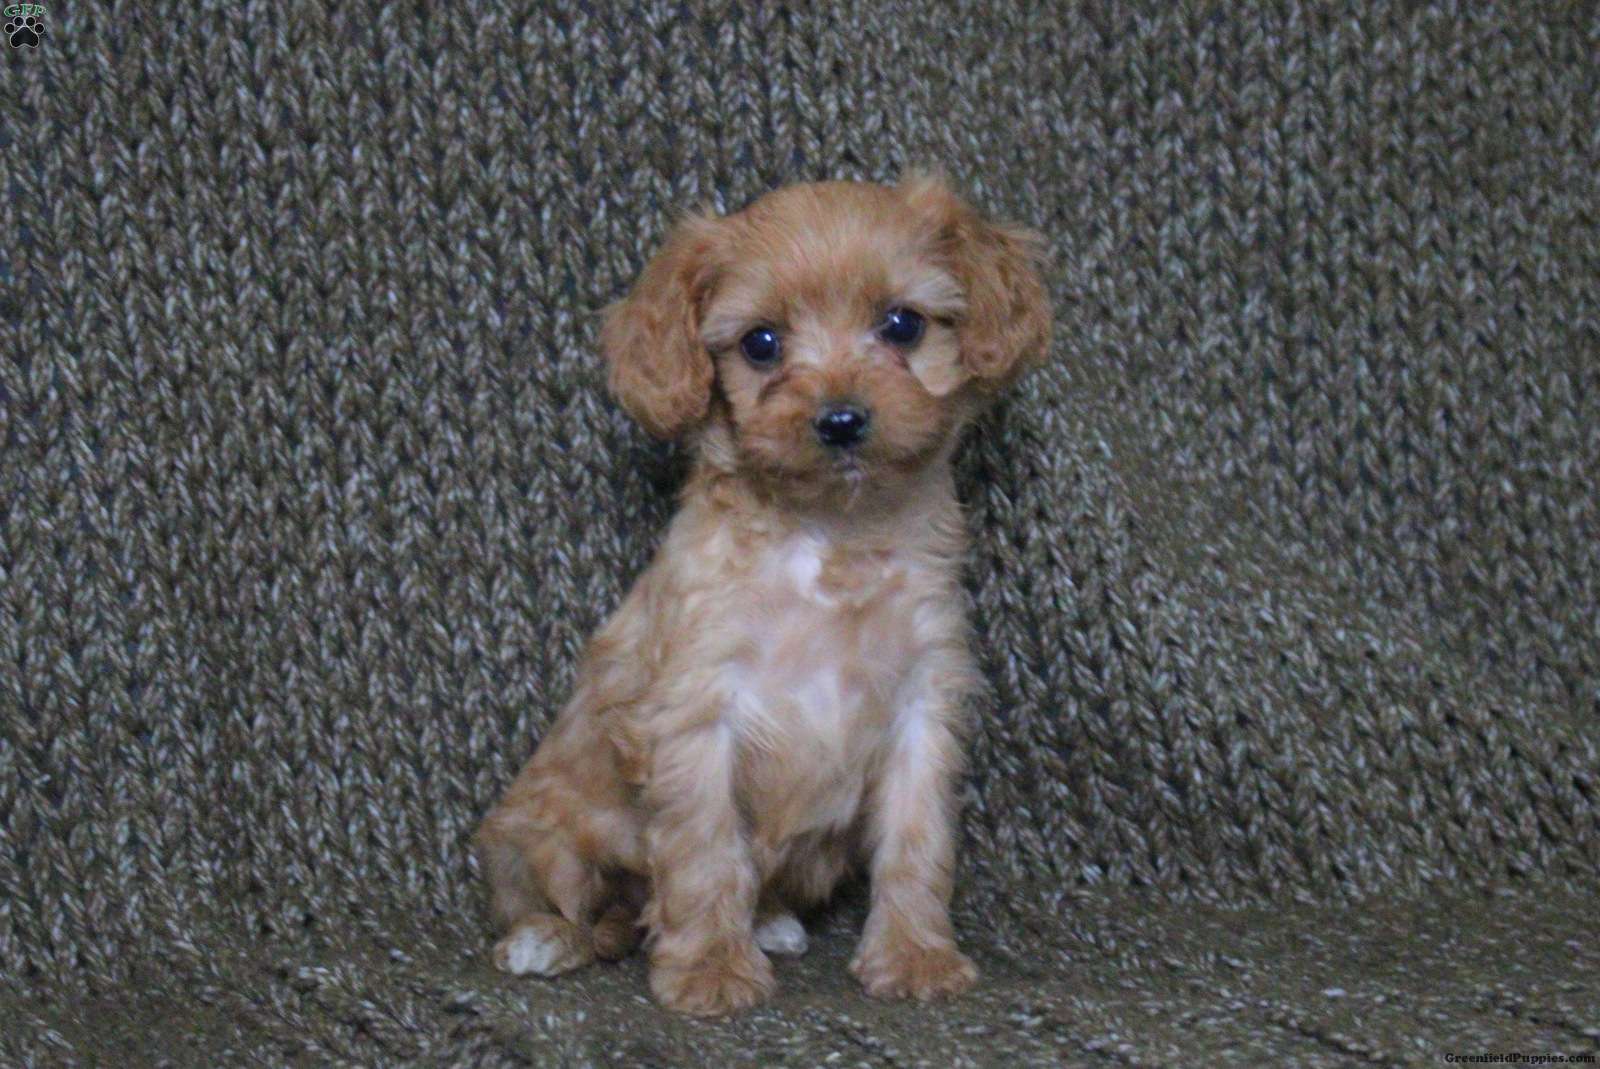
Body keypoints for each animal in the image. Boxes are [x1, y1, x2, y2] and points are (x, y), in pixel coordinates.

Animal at [475, 175, 1052, 1015]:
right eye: (761, 343)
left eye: (903, 324)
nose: (840, 420)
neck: (829, 534)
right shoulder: (695, 713)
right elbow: (705, 850)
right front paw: (710, 968)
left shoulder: (923, 705)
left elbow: (917, 842)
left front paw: (914, 954)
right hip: (537, 841)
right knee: (580, 907)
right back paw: (545, 939)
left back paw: (771, 921)